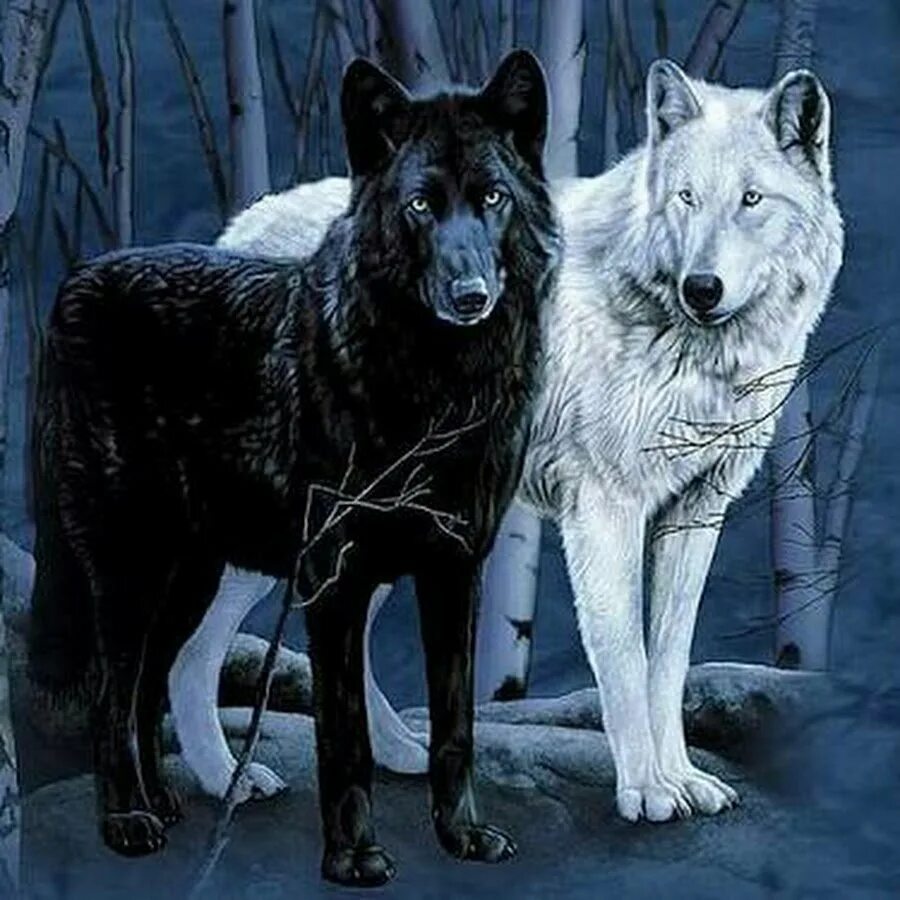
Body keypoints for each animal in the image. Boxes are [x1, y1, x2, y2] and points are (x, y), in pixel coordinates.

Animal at [27, 51, 560, 885]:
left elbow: (456, 729)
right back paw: (129, 820)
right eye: (419, 205)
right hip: (133, 569)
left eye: (493, 198)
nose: (470, 294)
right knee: (115, 691)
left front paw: (464, 837)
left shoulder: (452, 570)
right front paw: (353, 858)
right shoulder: (333, 582)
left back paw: (172, 801)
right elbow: (344, 737)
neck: (434, 389)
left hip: (191, 572)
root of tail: (75, 282)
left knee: (154, 678)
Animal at [171, 59, 843, 824]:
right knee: (190, 655)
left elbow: (669, 661)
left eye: (751, 200)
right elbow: (625, 658)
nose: (702, 288)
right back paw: (223, 779)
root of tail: (238, 226)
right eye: (686, 198)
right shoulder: (604, 511)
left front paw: (683, 779)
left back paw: (397, 753)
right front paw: (647, 791)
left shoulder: (697, 511)